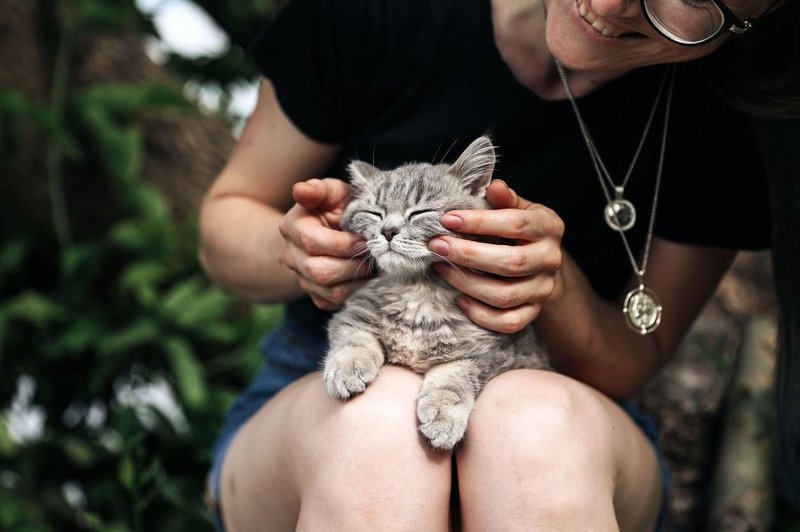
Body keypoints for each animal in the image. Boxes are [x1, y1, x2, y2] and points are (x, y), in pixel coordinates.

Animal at [320, 136, 552, 448]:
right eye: (374, 213)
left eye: (420, 212)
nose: (388, 231)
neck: (420, 292)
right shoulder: (353, 313)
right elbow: (353, 339)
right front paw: (347, 368)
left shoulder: (494, 353)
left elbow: (453, 378)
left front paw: (443, 415)